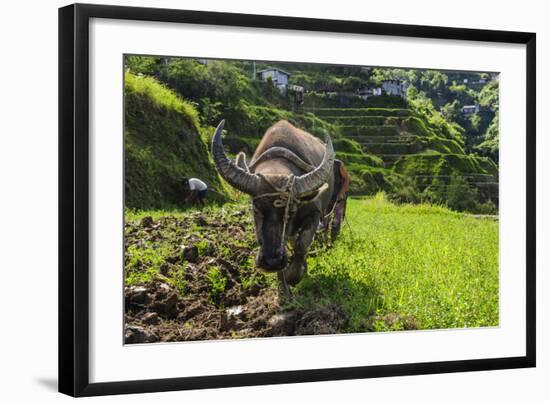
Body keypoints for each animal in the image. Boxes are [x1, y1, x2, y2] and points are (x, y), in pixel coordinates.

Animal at [212, 119, 336, 296]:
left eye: (292, 211)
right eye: (256, 210)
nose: (272, 262)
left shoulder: (315, 213)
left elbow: (302, 245)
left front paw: (294, 275)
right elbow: (288, 246)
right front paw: (283, 289)